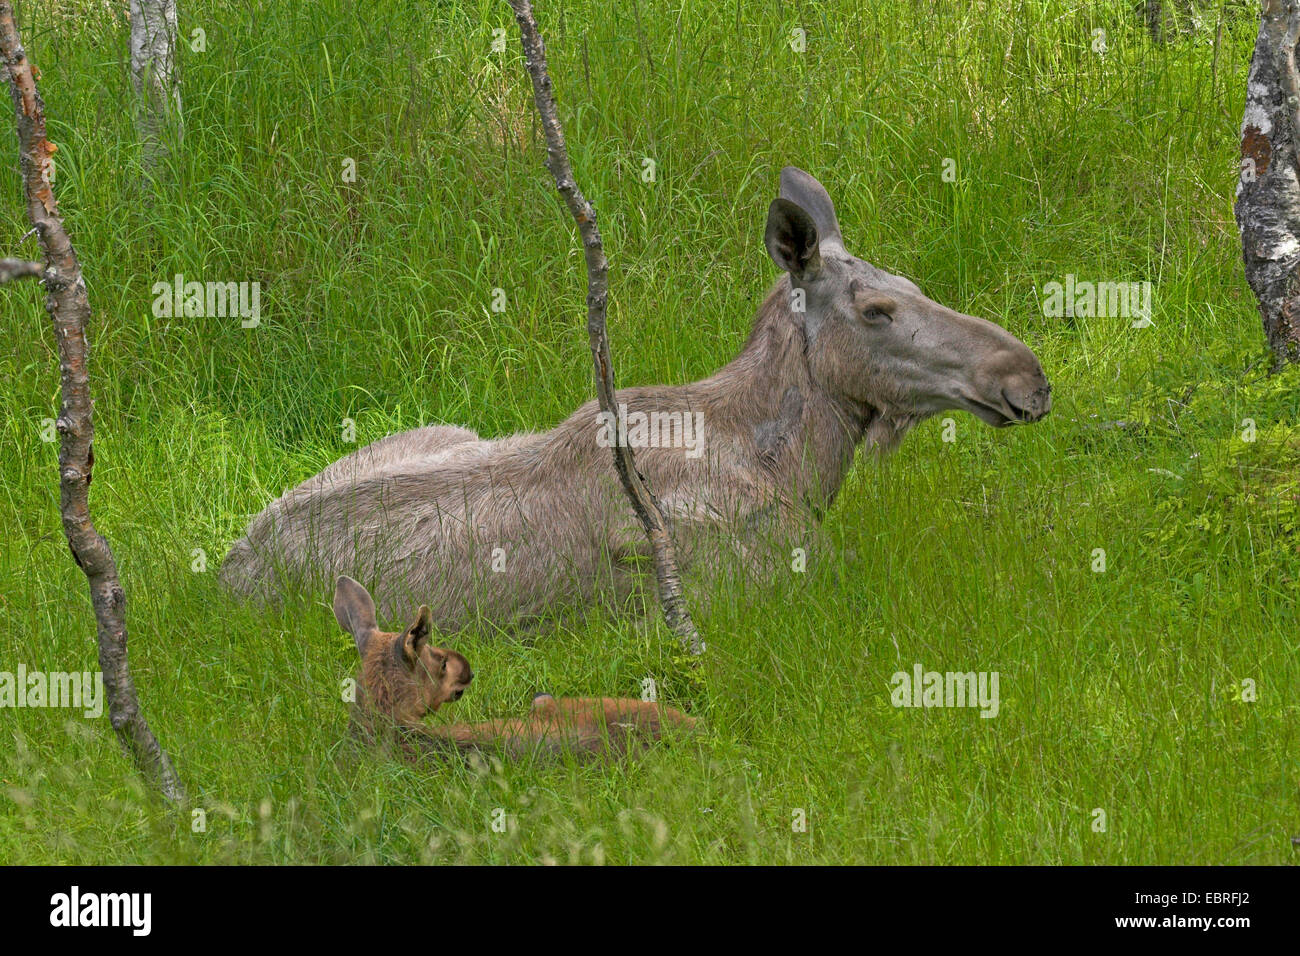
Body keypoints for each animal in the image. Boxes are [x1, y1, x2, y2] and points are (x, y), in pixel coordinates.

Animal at [223, 167, 1050, 624]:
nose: (1026, 376)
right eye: (877, 309)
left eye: (912, 284)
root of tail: (227, 569)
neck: (797, 464)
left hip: (445, 427)